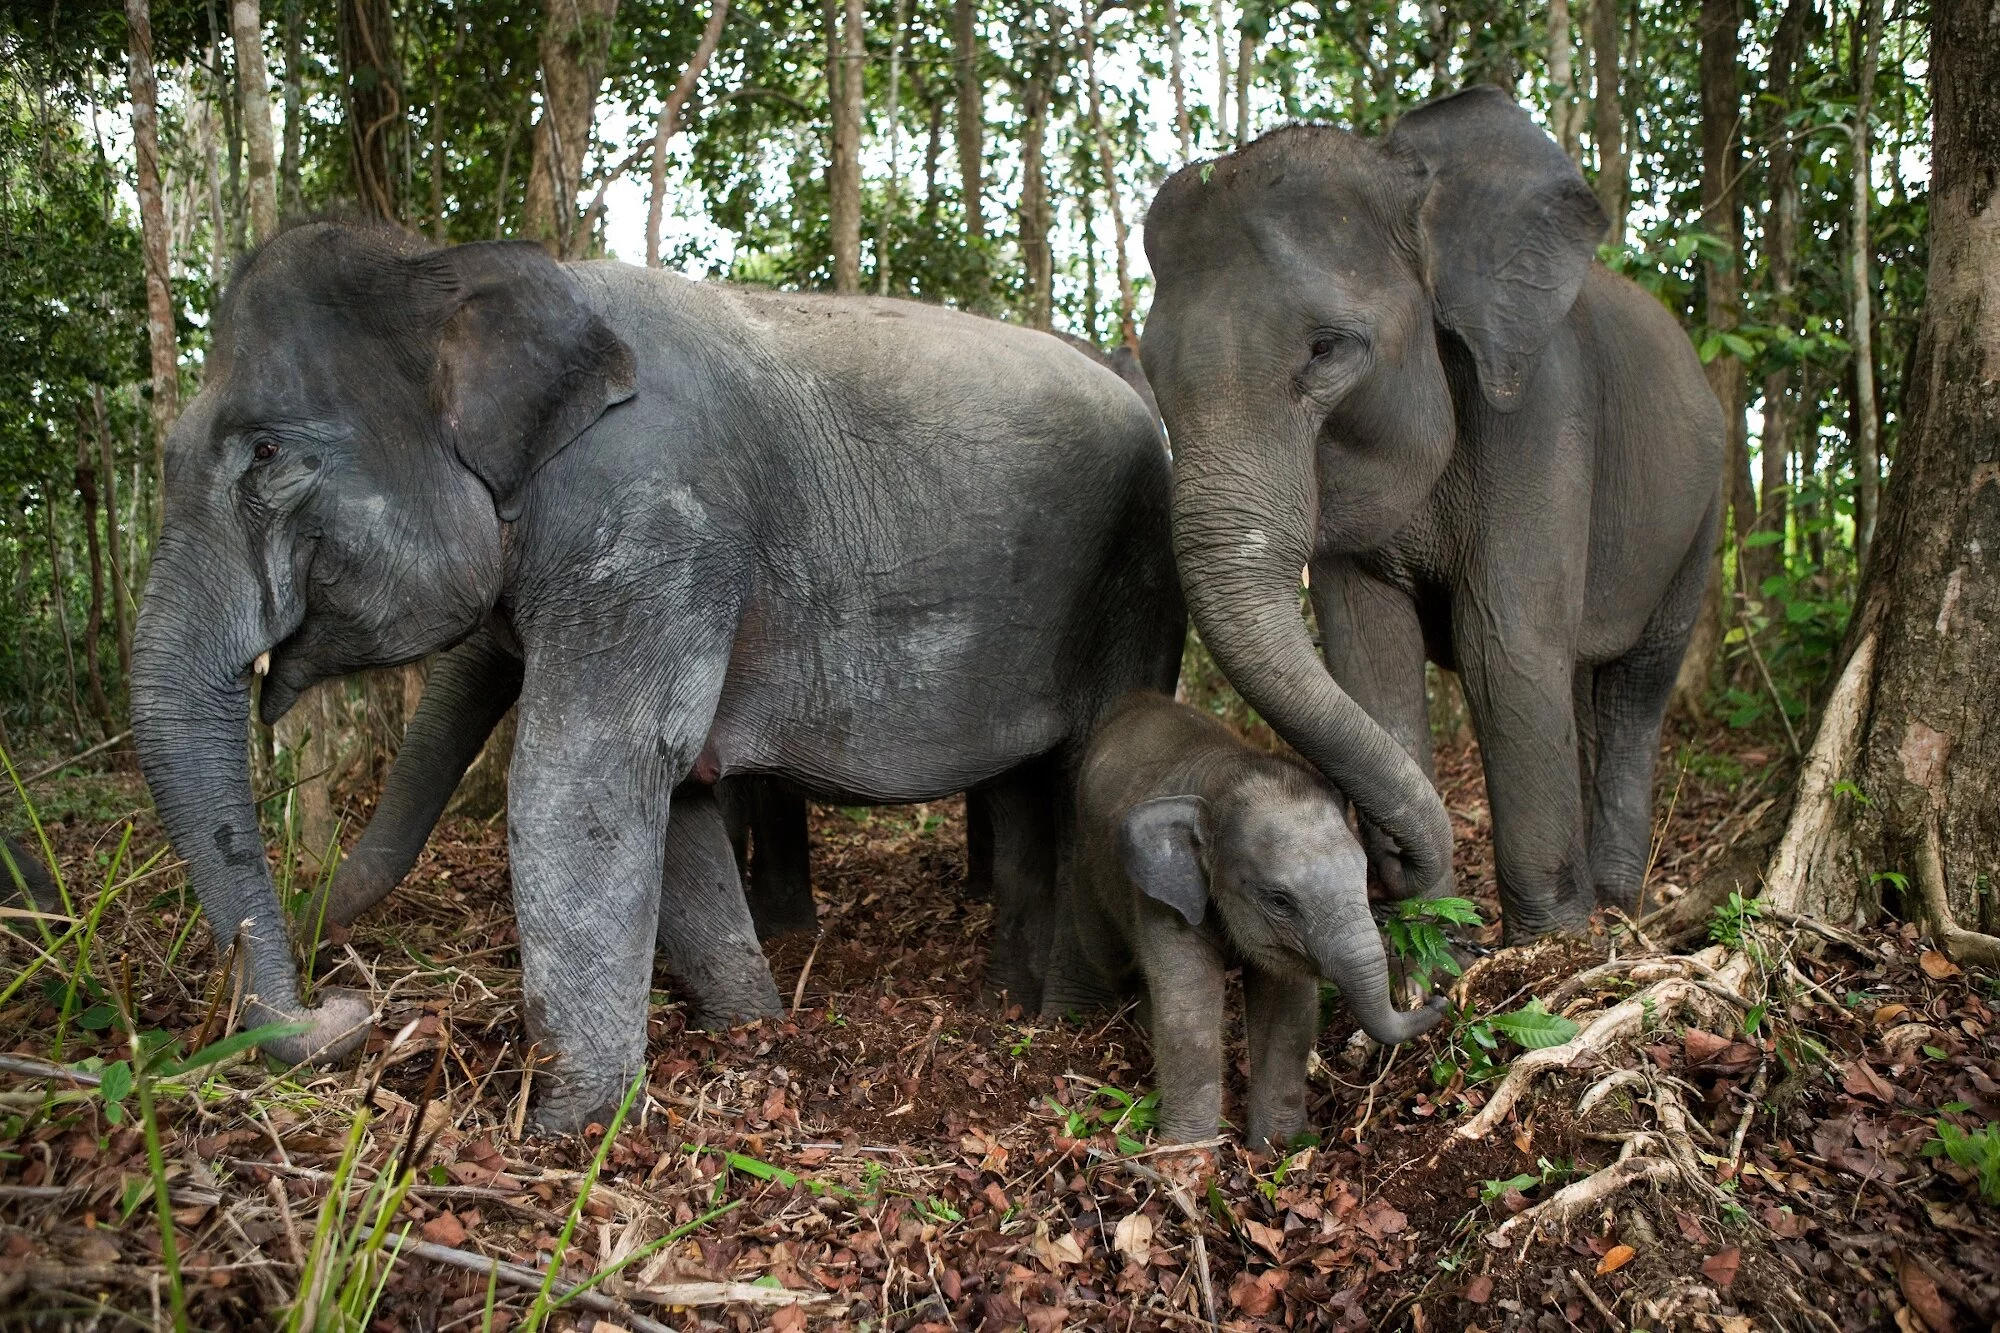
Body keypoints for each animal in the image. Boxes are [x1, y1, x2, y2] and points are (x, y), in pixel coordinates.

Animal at [133, 223, 1184, 1128]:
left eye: (269, 452)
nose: (344, 1005)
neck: (462, 267)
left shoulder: (651, 524)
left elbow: (583, 777)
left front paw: (564, 1133)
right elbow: (670, 794)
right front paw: (751, 1032)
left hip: (1134, 588)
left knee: (1088, 772)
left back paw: (1061, 1024)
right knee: (1022, 790)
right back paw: (1004, 1003)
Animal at [1040, 688, 1448, 1144]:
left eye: (1363, 874)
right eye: (1279, 901)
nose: (1438, 997)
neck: (1224, 778)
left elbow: (1288, 1012)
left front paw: (1280, 1148)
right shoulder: (1163, 898)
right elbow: (1188, 1009)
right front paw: (1187, 1155)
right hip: (1087, 862)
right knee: (1111, 958)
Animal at [1152, 85, 1728, 932]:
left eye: (1326, 349)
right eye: (1152, 369)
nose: (1386, 855)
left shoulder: (1544, 407)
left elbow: (1505, 646)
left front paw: (1549, 942)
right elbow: (1370, 655)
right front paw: (1438, 938)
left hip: (1701, 511)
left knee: (1637, 684)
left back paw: (1620, 904)